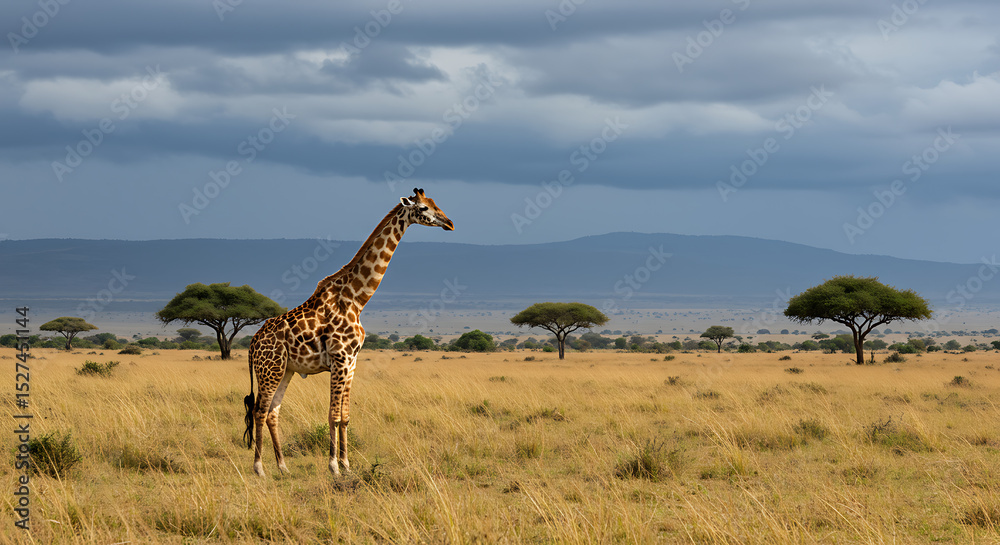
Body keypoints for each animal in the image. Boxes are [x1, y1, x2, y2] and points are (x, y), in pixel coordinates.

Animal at [244, 188, 454, 476]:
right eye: (423, 208)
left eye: (435, 203)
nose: (449, 223)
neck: (357, 299)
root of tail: (253, 343)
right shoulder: (340, 359)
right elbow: (333, 415)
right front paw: (333, 466)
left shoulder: (352, 361)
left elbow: (345, 416)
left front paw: (346, 464)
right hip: (270, 369)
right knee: (259, 412)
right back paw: (259, 468)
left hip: (285, 370)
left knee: (273, 412)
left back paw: (283, 467)